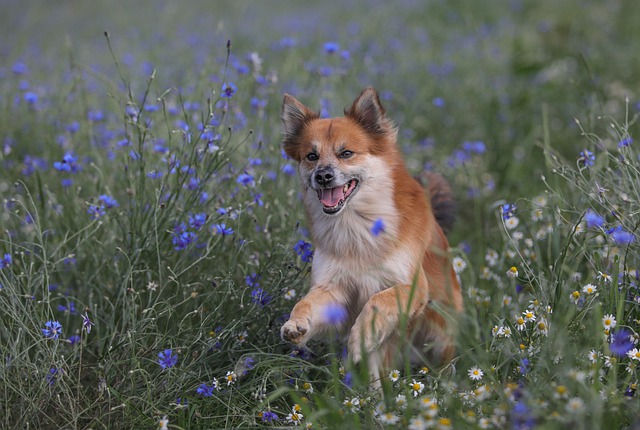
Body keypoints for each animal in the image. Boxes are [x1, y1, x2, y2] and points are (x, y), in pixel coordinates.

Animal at [278, 86, 462, 380]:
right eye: (311, 156)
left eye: (346, 153)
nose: (323, 176)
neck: (357, 226)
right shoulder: (333, 287)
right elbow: (306, 303)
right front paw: (296, 324)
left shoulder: (412, 287)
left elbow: (378, 300)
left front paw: (362, 336)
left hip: (438, 334)